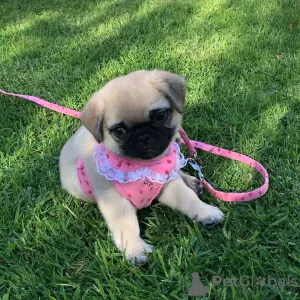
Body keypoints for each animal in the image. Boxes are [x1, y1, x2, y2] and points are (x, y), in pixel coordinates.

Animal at [59, 69, 223, 262]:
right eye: (119, 131)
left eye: (159, 116)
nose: (144, 136)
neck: (143, 166)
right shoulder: (115, 202)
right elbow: (126, 224)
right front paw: (135, 249)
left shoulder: (168, 184)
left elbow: (187, 199)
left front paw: (205, 212)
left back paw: (192, 181)